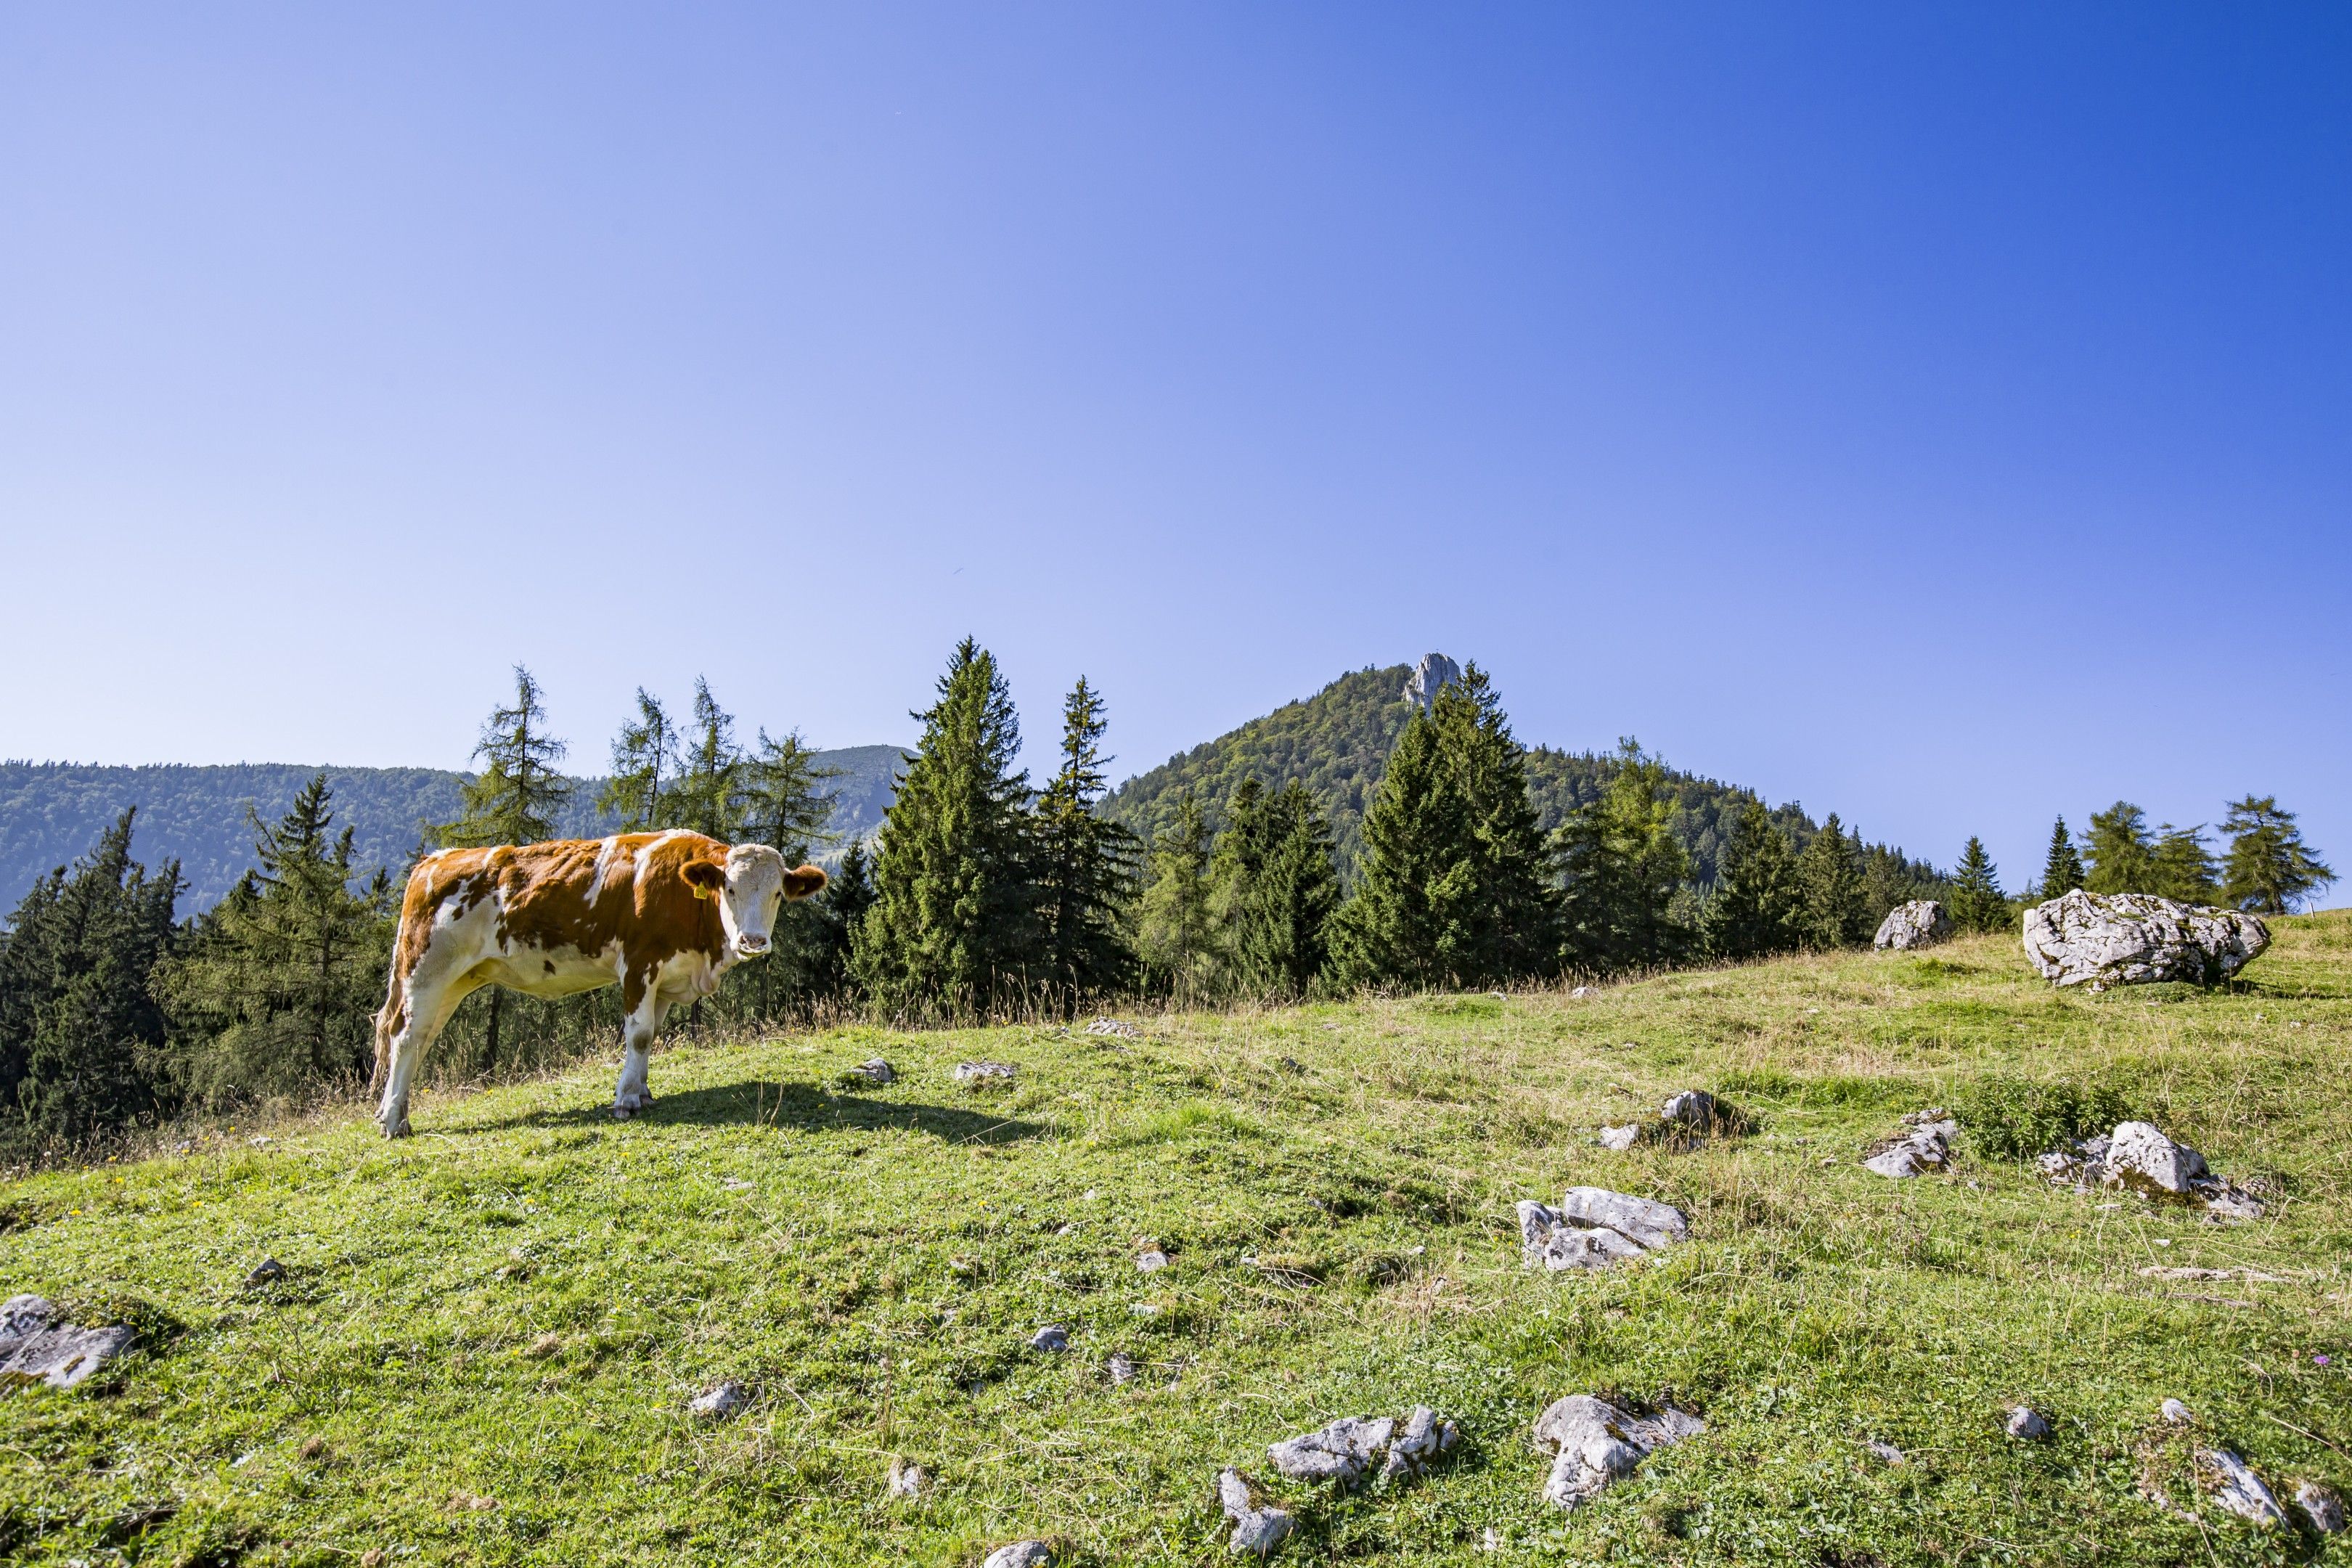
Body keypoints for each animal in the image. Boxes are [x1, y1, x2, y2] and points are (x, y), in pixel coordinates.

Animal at [370, 830, 827, 1136]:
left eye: (777, 894)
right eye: (729, 889)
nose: (753, 941)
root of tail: (434, 860)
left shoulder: (666, 977)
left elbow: (652, 1035)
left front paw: (642, 1092)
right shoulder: (640, 963)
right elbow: (639, 1034)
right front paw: (625, 1100)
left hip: (455, 978)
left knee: (421, 1037)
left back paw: (397, 1110)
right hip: (425, 971)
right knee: (405, 1036)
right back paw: (393, 1121)